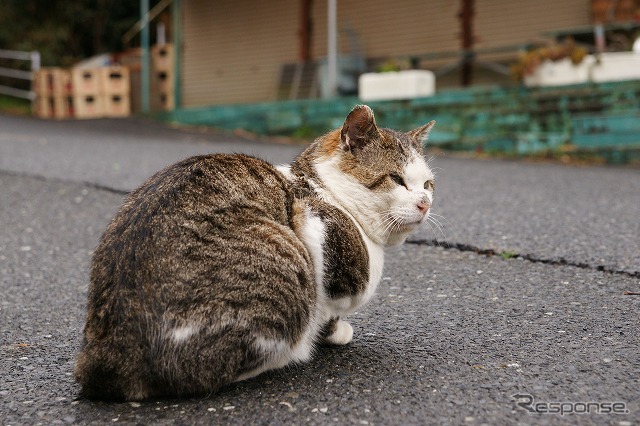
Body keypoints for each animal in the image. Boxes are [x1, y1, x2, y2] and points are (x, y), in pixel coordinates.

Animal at [74, 105, 436, 402]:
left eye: (428, 184)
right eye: (397, 179)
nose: (425, 203)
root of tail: (107, 358)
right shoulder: (315, 228)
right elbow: (328, 306)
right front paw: (334, 332)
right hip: (285, 268)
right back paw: (293, 354)